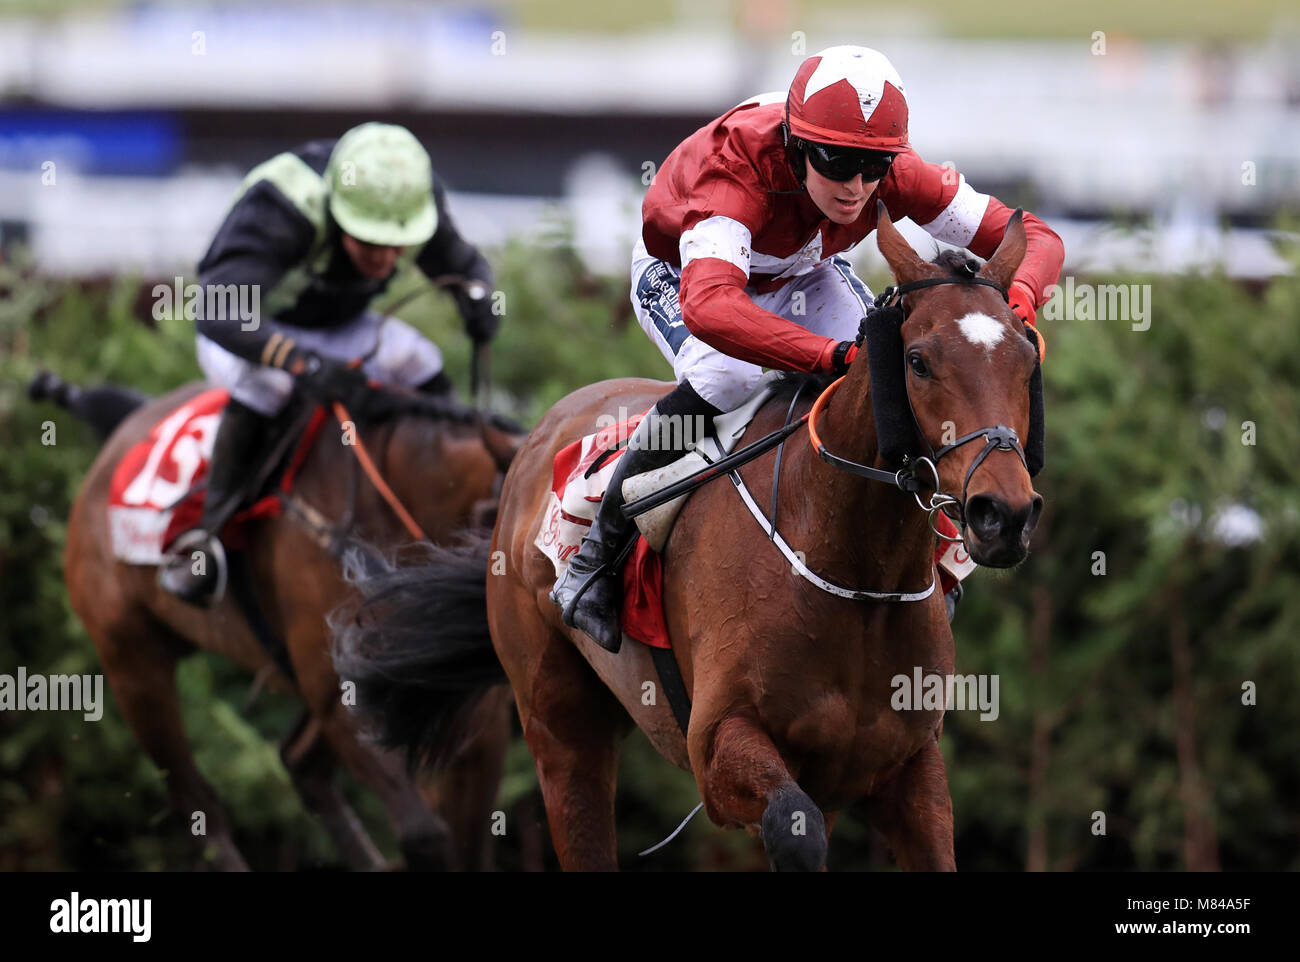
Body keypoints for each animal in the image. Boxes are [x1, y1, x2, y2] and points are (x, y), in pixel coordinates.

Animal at [49, 377, 522, 873]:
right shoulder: (338, 694)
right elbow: (424, 834)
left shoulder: (459, 705)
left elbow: (471, 842)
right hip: (133, 665)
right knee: (196, 801)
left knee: (298, 761)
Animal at [335, 208, 1045, 873]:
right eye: (918, 361)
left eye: (1027, 358)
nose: (1002, 514)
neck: (852, 572)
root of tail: (533, 440)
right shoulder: (720, 748)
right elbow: (794, 831)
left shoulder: (902, 768)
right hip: (559, 726)